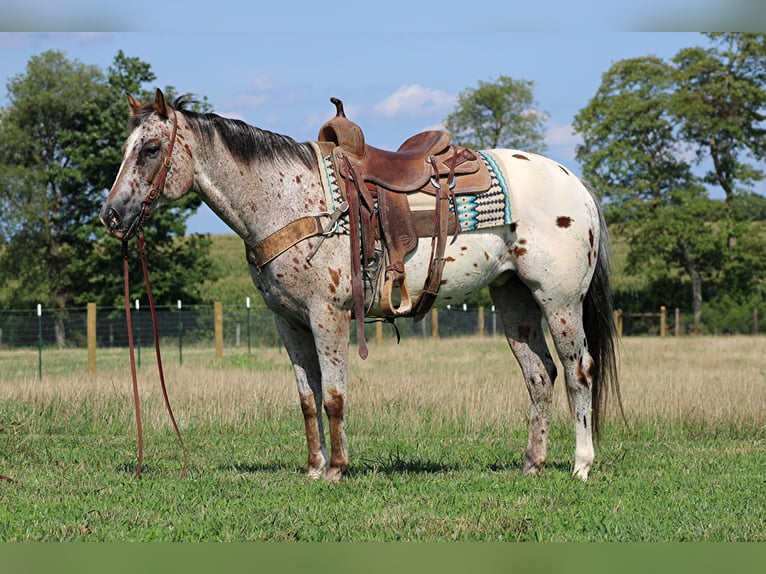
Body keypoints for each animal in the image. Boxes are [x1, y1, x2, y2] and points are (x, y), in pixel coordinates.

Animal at [99, 88, 620, 484]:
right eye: (124, 150)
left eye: (150, 150)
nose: (112, 215)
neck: (292, 201)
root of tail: (575, 183)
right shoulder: (289, 322)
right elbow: (307, 399)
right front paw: (313, 468)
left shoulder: (327, 315)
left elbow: (333, 394)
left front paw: (337, 469)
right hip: (514, 301)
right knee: (540, 376)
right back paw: (532, 464)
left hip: (559, 301)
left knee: (578, 372)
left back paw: (581, 465)